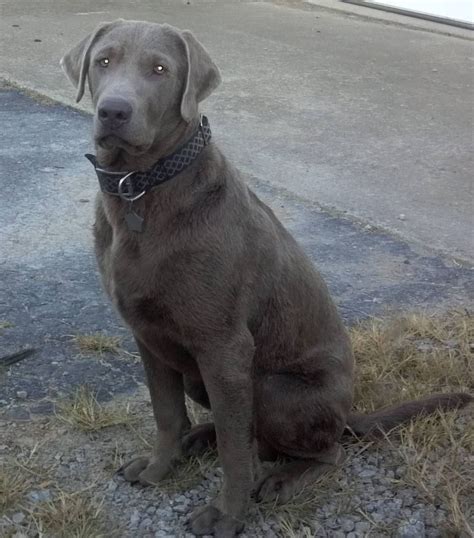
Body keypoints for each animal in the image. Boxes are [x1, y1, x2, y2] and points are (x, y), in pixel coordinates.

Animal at [61, 19, 472, 536]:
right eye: (104, 61)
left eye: (160, 70)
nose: (114, 110)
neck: (140, 189)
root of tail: (348, 413)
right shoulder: (148, 335)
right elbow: (167, 414)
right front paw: (158, 470)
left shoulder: (225, 346)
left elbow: (237, 451)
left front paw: (226, 515)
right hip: (200, 373)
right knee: (245, 432)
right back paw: (201, 438)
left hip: (272, 387)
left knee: (320, 450)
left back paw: (282, 478)